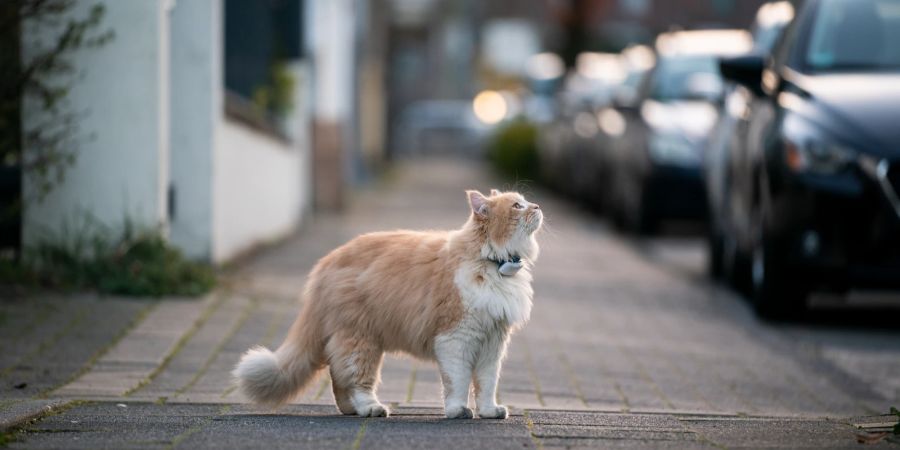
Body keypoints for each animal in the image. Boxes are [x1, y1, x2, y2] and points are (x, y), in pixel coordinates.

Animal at [232, 188, 540, 420]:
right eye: (517, 205)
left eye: (526, 201)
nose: (537, 206)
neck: (492, 262)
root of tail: (326, 263)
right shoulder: (457, 338)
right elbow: (458, 382)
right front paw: (457, 411)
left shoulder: (492, 342)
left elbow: (487, 384)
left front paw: (489, 411)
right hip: (361, 342)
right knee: (356, 380)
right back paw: (371, 408)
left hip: (358, 340)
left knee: (338, 376)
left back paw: (351, 411)